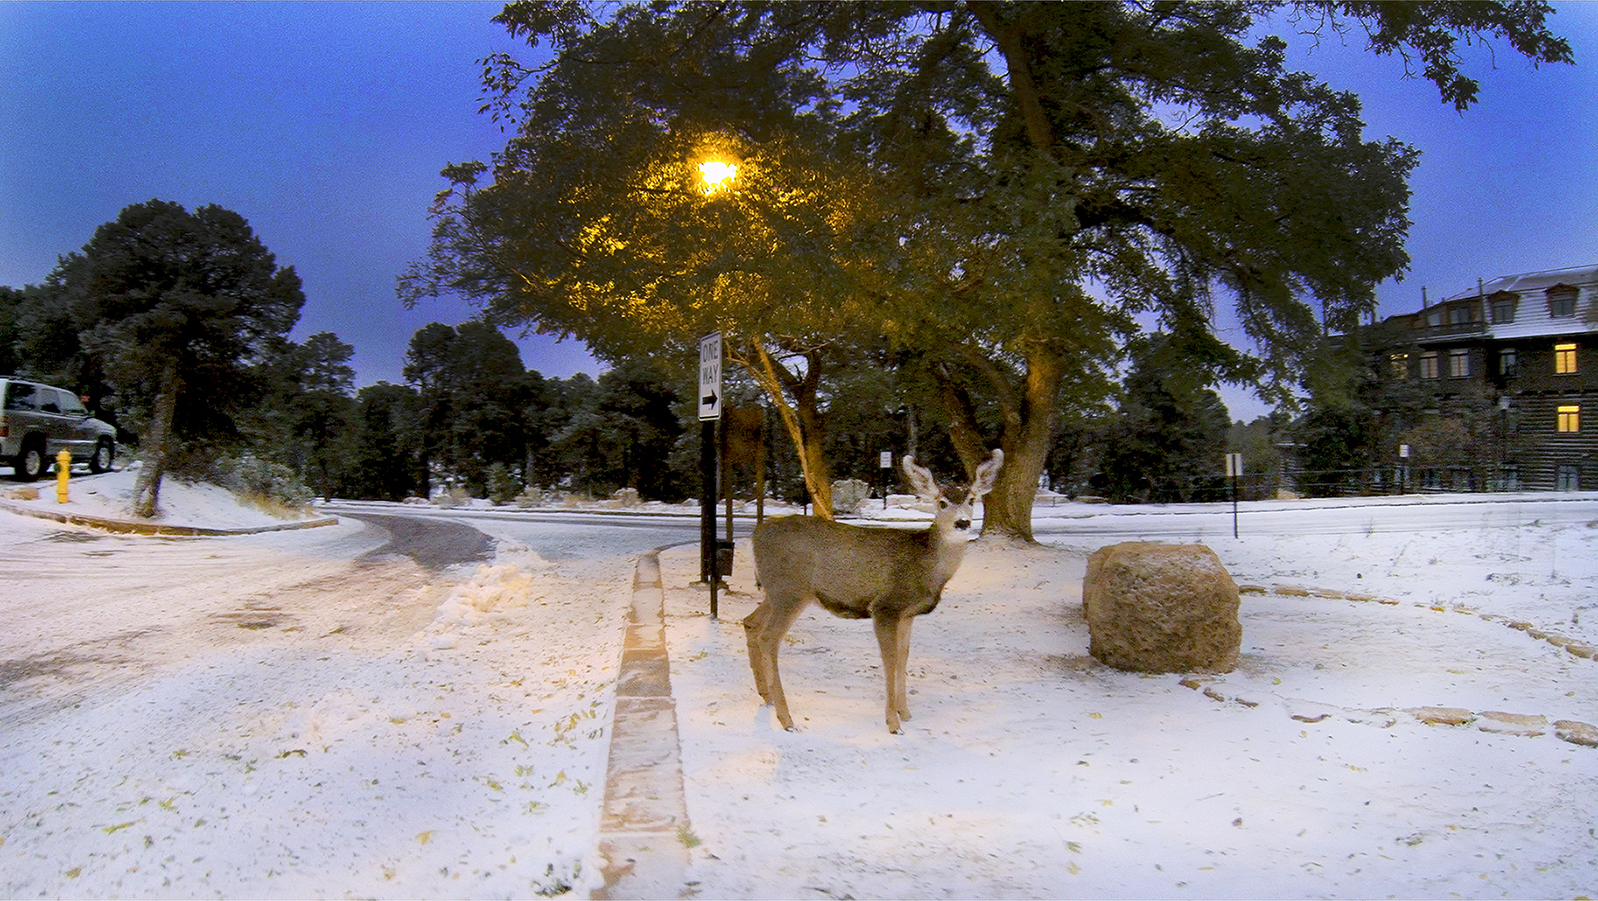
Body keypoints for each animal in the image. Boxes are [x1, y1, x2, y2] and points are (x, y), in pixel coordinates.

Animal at [744, 447, 997, 731]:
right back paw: (786, 718)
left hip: (776, 592)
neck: (925, 565)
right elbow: (890, 659)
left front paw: (905, 713)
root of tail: (754, 537)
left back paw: (766, 696)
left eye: (972, 499)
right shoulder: (886, 606)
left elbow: (904, 657)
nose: (962, 523)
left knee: (750, 623)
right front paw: (893, 723)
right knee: (768, 638)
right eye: (942, 502)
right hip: (790, 591)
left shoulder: (907, 613)